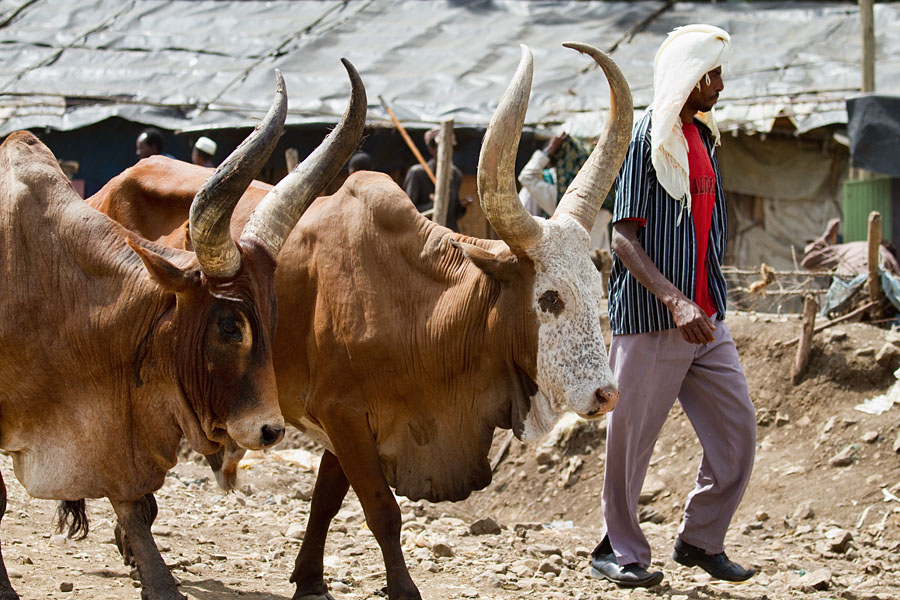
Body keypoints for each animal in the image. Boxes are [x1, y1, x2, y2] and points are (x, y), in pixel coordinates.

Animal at [88, 43, 631, 600]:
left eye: (595, 285)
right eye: (549, 298)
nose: (607, 395)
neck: (418, 310)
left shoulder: (345, 422)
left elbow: (327, 501)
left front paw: (309, 578)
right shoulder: (343, 414)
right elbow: (382, 510)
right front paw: (402, 589)